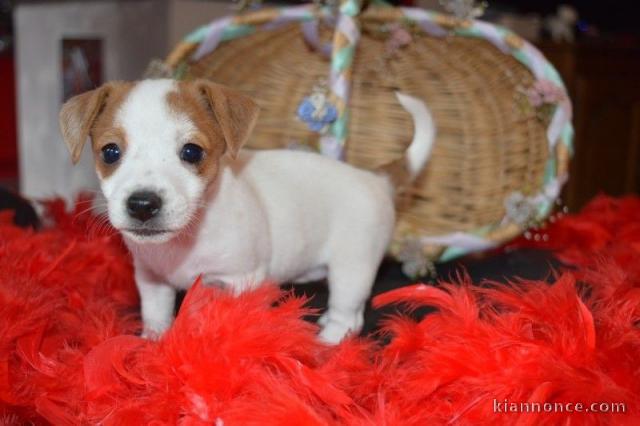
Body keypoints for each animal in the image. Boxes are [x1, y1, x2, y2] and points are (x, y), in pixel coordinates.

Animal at [60, 78, 436, 342]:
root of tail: (376, 178)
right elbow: (156, 315)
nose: (142, 203)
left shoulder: (240, 279)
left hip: (352, 268)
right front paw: (153, 343)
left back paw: (327, 342)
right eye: (110, 152)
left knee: (348, 315)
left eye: (192, 152)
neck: (188, 238)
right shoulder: (152, 280)